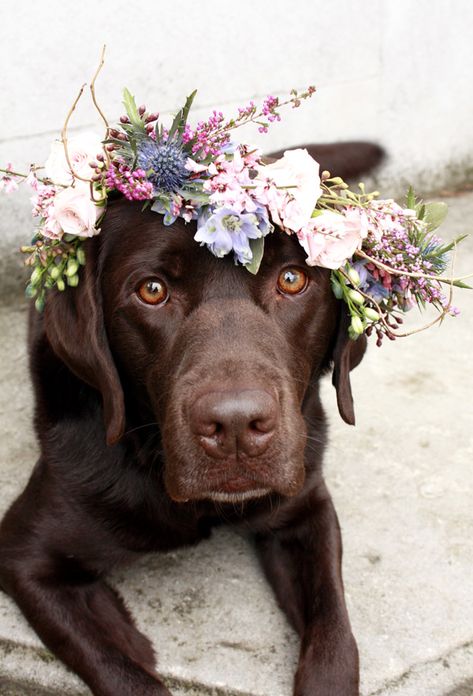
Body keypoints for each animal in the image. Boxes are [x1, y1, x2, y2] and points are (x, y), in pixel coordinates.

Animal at [0, 143, 378, 696]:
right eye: (152, 290)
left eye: (292, 279)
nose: (236, 427)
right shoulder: (23, 555)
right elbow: (119, 672)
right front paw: (124, 637)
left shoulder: (307, 509)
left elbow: (335, 639)